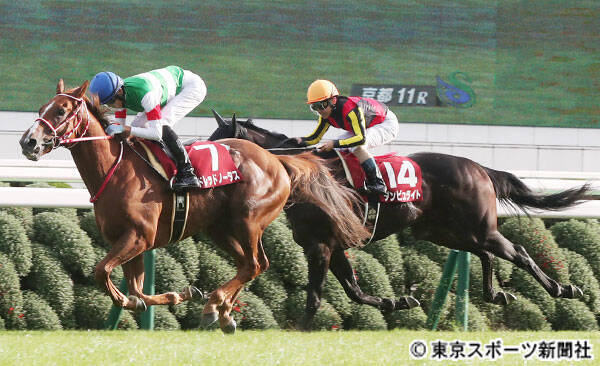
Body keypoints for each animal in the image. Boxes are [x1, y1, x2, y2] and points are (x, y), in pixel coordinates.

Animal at [17, 81, 370, 334]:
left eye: (61, 111)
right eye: (42, 108)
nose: (27, 142)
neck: (114, 171)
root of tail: (277, 160)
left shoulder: (138, 237)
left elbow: (101, 271)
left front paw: (139, 299)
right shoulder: (129, 240)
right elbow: (137, 289)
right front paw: (179, 295)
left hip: (248, 221)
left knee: (256, 263)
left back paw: (216, 305)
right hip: (220, 229)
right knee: (248, 264)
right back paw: (224, 313)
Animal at [207, 111, 592, 328]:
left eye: (218, 145)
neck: (297, 175)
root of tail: (479, 167)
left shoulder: (320, 246)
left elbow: (316, 297)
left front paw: (300, 330)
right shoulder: (333, 246)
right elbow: (355, 291)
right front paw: (399, 301)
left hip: (479, 227)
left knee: (519, 253)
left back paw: (563, 288)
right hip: (439, 231)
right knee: (484, 252)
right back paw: (496, 294)